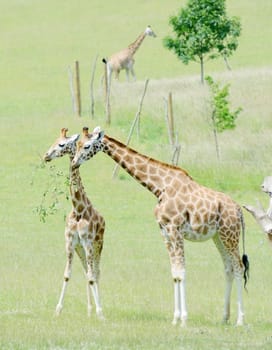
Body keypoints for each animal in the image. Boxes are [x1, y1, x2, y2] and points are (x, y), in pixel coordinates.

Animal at [43, 127, 105, 318]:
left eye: (62, 144)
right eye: (54, 141)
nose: (46, 156)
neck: (78, 210)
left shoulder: (88, 242)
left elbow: (93, 276)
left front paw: (101, 313)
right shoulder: (70, 243)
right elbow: (67, 275)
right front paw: (58, 309)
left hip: (97, 245)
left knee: (96, 273)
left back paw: (98, 310)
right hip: (81, 250)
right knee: (87, 272)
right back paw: (89, 310)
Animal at [71, 126, 249, 328]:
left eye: (87, 146)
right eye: (77, 144)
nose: (74, 163)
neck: (159, 187)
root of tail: (239, 211)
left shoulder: (175, 229)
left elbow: (182, 271)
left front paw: (184, 319)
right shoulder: (164, 231)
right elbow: (175, 273)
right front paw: (175, 318)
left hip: (230, 234)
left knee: (239, 267)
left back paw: (240, 320)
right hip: (218, 237)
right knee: (228, 268)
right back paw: (224, 317)